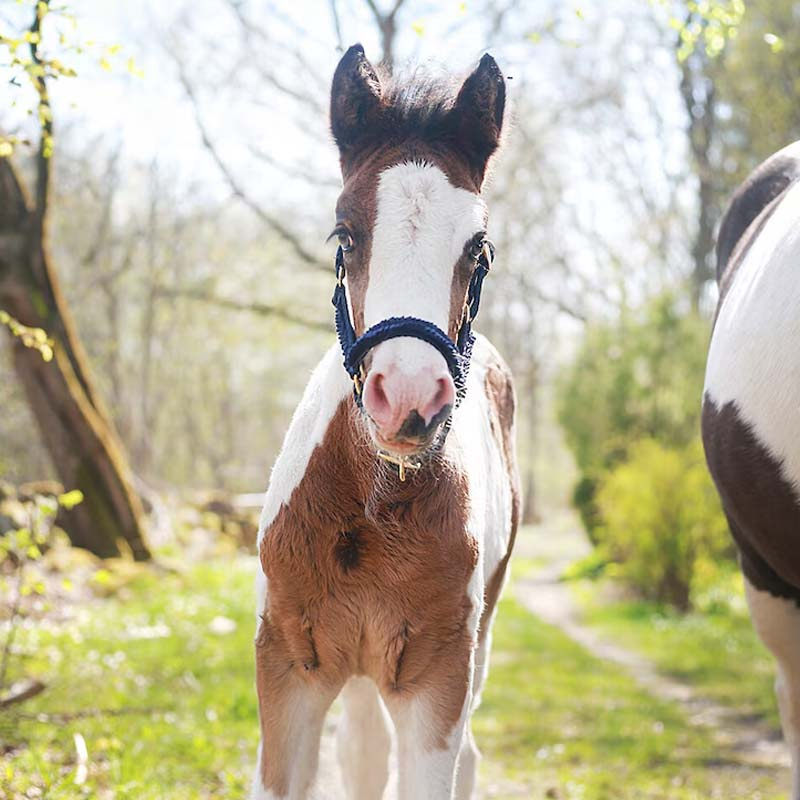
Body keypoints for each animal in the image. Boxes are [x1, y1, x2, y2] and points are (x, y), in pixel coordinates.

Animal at [251, 45, 519, 800]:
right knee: (363, 753)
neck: (374, 508)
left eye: (479, 248)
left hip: (477, 644)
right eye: (344, 236)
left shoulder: (436, 682)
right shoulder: (288, 668)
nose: (407, 398)